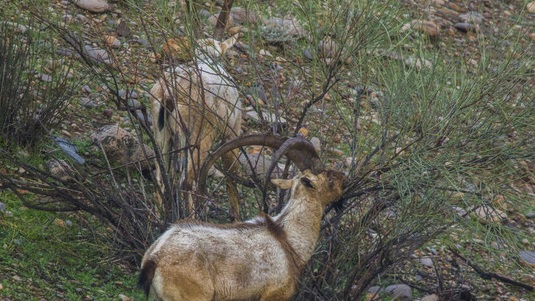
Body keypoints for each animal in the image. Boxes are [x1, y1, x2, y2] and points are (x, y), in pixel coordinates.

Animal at [151, 33, 243, 220]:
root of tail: (169, 95)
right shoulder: (231, 132)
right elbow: (231, 173)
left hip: (162, 135)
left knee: (161, 179)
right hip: (197, 137)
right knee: (186, 181)